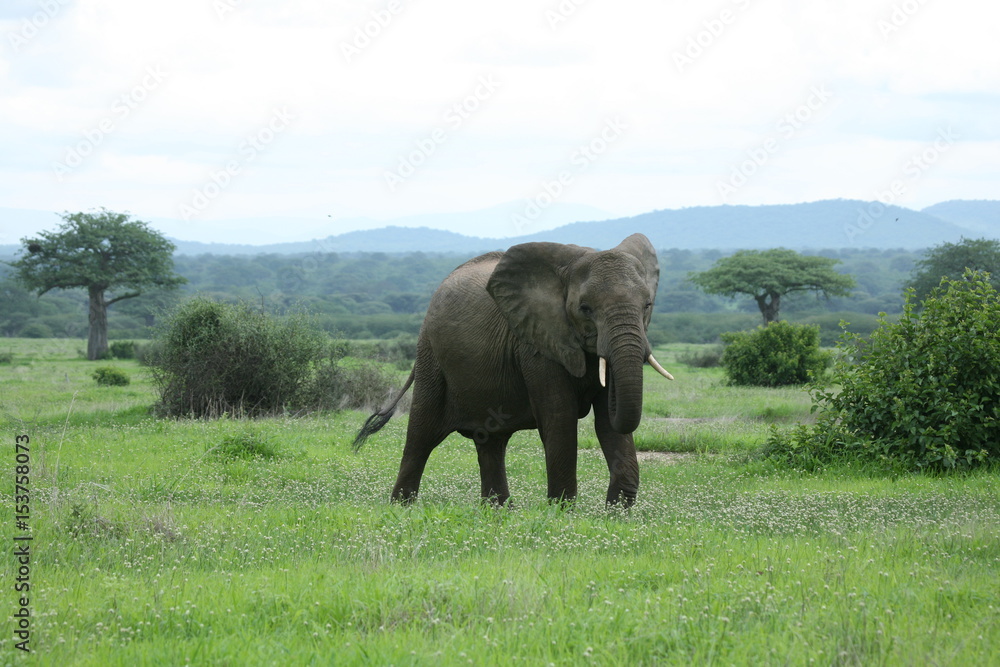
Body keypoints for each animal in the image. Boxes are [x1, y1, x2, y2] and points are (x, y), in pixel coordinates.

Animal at [353, 233, 673, 506]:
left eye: (647, 305)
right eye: (585, 308)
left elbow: (608, 422)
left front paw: (616, 517)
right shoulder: (535, 342)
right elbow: (560, 416)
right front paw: (562, 514)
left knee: (490, 441)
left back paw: (498, 512)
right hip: (430, 354)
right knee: (421, 435)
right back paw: (402, 507)